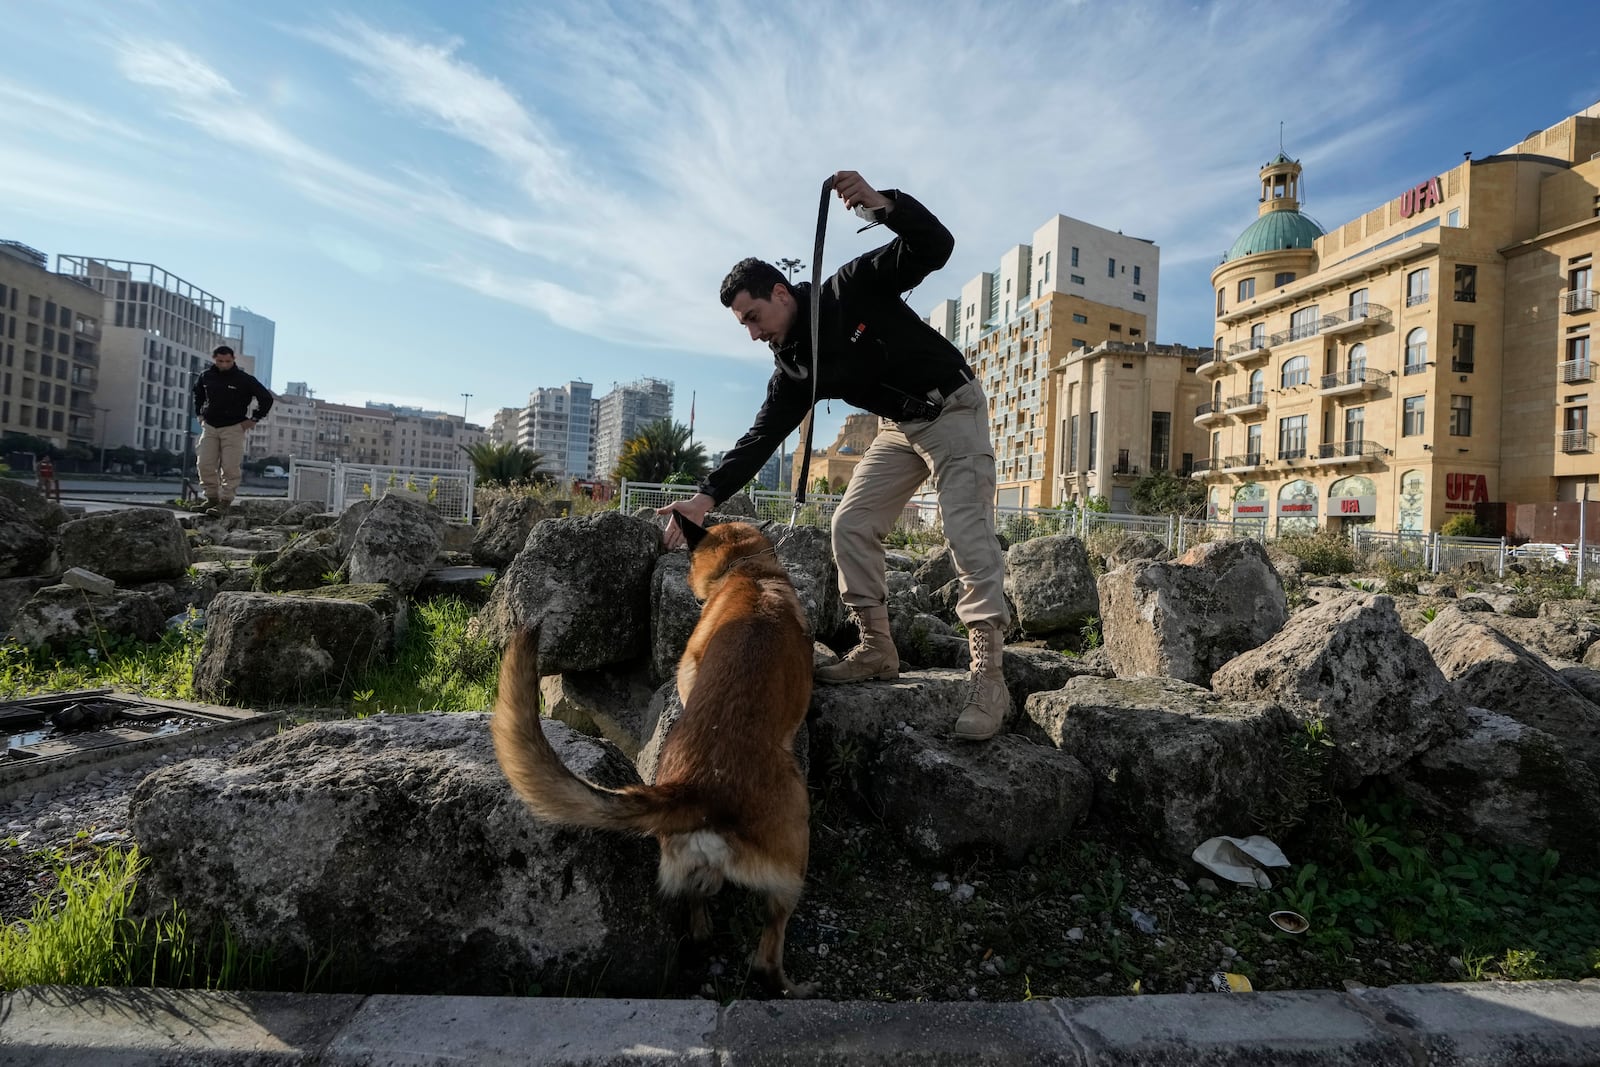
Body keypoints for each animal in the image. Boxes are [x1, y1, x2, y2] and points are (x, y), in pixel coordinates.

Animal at [486, 518, 812, 1004]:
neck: (748, 571)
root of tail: (698, 789)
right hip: (794, 854)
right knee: (767, 953)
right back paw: (791, 987)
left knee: (697, 910)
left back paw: (702, 933)